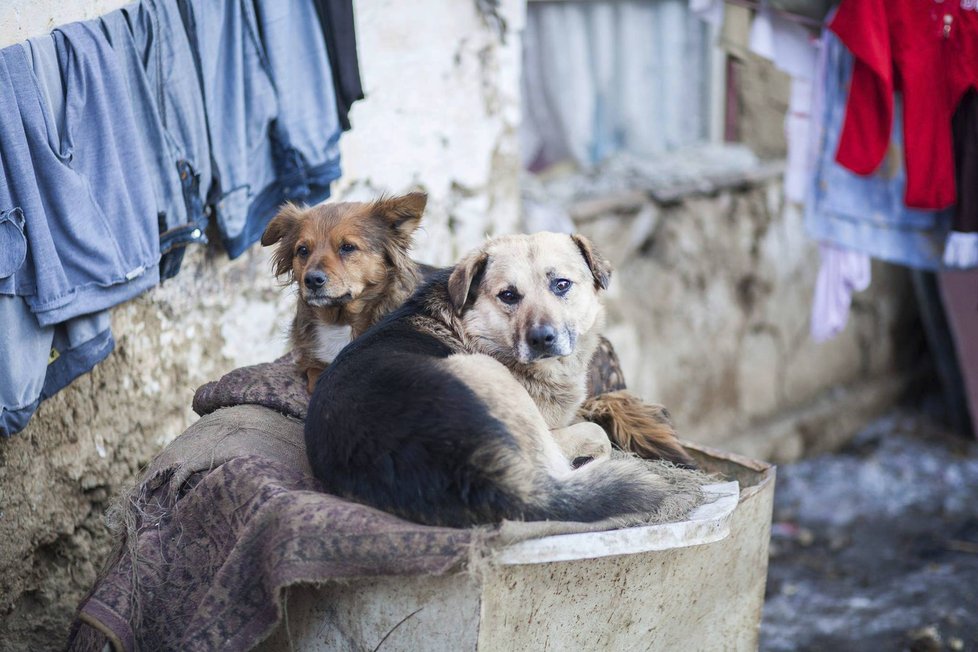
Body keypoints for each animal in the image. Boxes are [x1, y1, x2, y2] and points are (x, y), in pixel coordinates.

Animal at [262, 191, 426, 390]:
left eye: (348, 247)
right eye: (302, 250)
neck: (339, 322)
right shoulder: (311, 361)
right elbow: (315, 374)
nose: (312, 280)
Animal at [304, 232, 700, 528]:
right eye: (508, 295)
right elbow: (595, 432)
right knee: (563, 466)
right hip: (492, 382)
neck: (472, 327)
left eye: (561, 285)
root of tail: (472, 472)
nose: (542, 339)